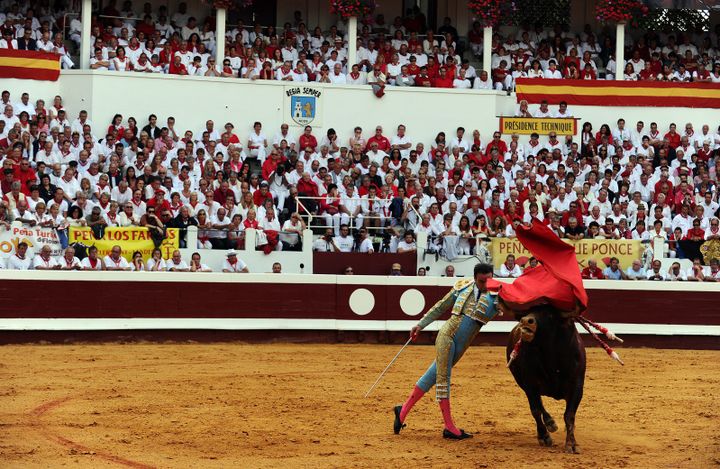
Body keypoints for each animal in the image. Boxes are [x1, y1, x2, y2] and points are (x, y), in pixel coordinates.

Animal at [506, 306, 584, 452]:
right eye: (528, 310)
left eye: (551, 315)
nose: (525, 320)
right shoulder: (530, 384)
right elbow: (535, 410)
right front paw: (544, 437)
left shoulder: (577, 386)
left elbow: (569, 414)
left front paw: (572, 444)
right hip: (523, 383)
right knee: (539, 405)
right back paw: (550, 424)